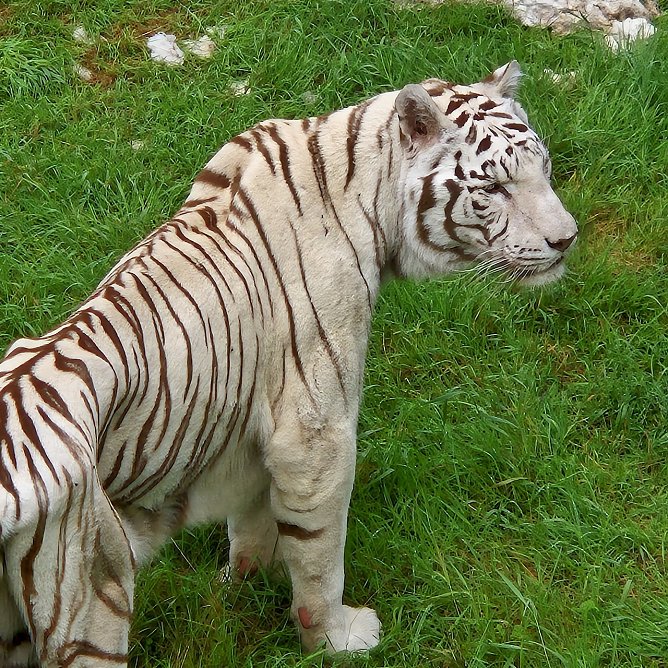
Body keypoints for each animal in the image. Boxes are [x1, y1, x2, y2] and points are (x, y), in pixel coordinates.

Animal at [0, 61, 577, 667]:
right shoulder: (314, 431)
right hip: (93, 594)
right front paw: (334, 638)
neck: (366, 189)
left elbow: (254, 521)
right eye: (494, 188)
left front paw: (246, 581)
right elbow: (321, 553)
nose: (566, 240)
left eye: (544, 169)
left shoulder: (251, 434)